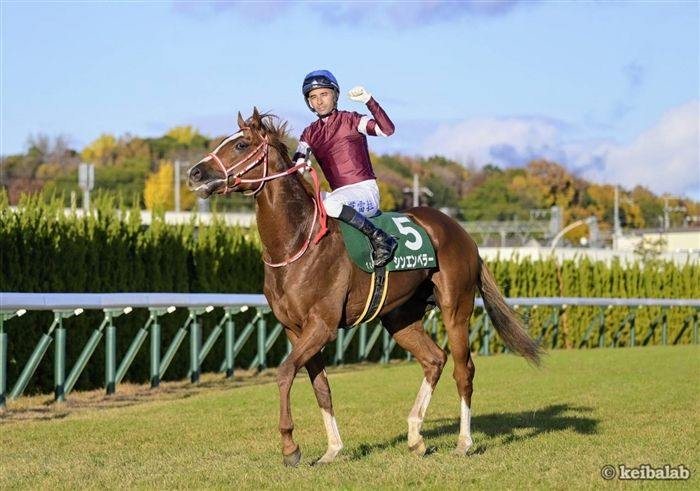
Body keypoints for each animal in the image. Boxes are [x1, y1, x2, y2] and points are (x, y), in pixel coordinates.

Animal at [187, 108, 542, 466]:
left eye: (241, 144)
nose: (194, 173)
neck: (297, 242)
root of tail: (462, 233)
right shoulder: (295, 329)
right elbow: (321, 387)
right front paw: (332, 449)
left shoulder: (322, 326)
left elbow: (285, 372)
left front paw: (290, 447)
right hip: (400, 317)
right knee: (434, 360)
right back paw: (415, 437)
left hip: (456, 308)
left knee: (463, 370)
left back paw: (464, 441)